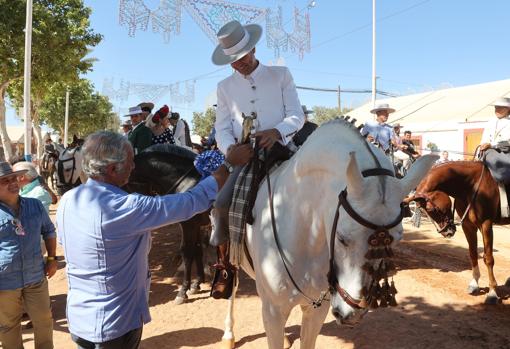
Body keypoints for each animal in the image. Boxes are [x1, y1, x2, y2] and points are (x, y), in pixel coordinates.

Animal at [220, 117, 438, 348]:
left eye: (396, 240)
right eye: (341, 238)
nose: (352, 314)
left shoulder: (317, 309)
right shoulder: (273, 312)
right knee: (233, 288)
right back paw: (228, 334)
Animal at [404, 160, 508, 302]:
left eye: (432, 209)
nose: (447, 232)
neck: (472, 185)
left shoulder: (486, 224)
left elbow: (488, 258)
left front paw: (492, 292)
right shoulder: (468, 226)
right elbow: (473, 253)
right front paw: (474, 284)